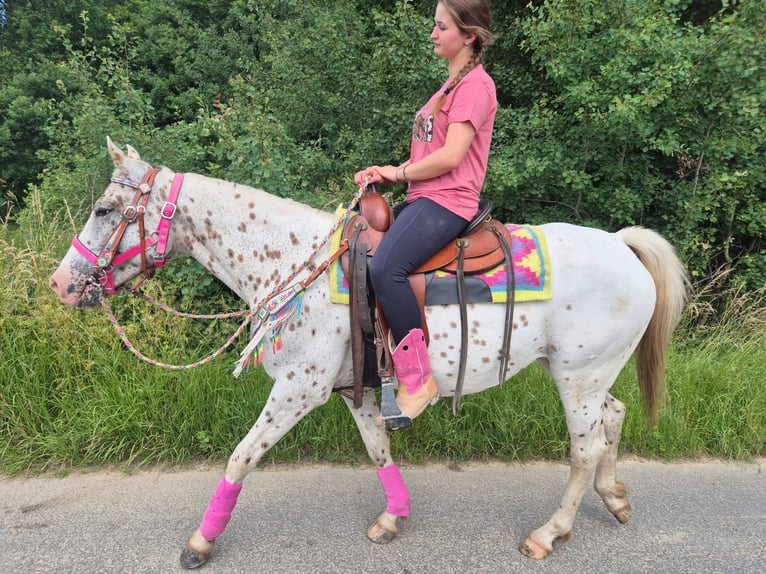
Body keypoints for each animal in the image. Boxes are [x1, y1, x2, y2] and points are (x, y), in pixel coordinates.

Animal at [49, 138, 688, 568]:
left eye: (105, 209)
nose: (61, 284)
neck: (291, 263)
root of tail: (624, 246)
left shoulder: (298, 388)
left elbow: (241, 456)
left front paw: (201, 542)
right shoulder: (353, 386)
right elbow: (378, 448)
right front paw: (391, 517)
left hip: (578, 376)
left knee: (584, 450)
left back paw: (548, 533)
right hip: (590, 375)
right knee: (613, 419)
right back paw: (616, 499)